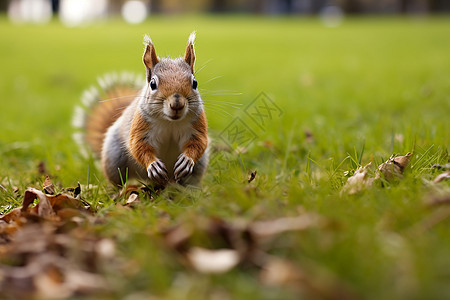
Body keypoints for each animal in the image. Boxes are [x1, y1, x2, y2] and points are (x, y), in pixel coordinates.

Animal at [72, 33, 209, 188]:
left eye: (195, 83)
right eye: (153, 84)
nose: (177, 104)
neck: (170, 122)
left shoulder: (196, 125)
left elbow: (199, 142)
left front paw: (187, 160)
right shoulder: (141, 124)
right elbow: (138, 145)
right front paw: (153, 165)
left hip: (199, 166)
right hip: (115, 158)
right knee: (118, 180)